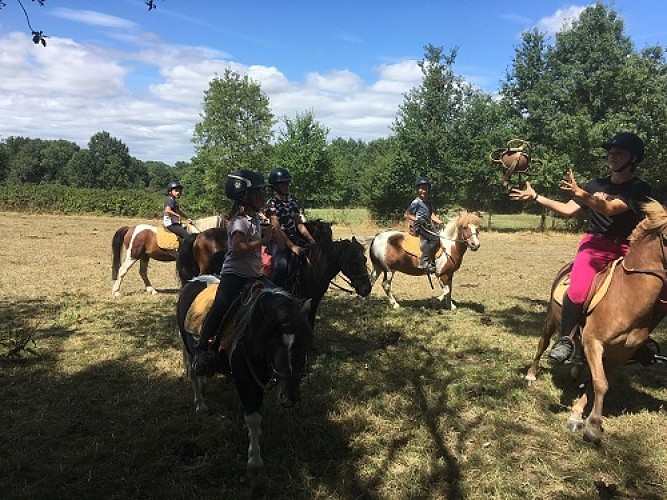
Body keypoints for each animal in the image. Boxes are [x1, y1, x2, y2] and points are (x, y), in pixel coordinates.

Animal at [177, 280, 314, 470]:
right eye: (272, 345)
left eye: (304, 344)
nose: (289, 397)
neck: (251, 333)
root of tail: (192, 282)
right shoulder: (245, 378)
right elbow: (253, 417)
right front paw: (255, 458)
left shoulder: (260, 376)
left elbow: (256, 409)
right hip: (189, 349)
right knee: (193, 375)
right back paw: (200, 404)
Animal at [528, 200, 667, 446]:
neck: (627, 296)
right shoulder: (595, 343)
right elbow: (601, 383)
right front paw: (592, 426)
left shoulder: (620, 353)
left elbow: (597, 382)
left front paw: (579, 415)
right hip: (551, 319)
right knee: (542, 344)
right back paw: (532, 374)